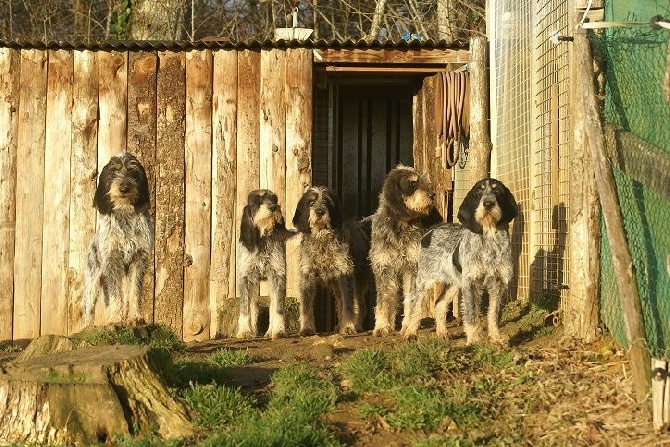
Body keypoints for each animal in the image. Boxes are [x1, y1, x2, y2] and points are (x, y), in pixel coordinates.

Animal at [82, 152, 154, 328]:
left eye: (133, 171)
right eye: (114, 171)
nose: (124, 188)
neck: (125, 212)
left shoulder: (138, 260)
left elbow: (134, 292)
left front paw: (135, 317)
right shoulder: (113, 260)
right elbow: (116, 295)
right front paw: (115, 319)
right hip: (93, 281)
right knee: (88, 307)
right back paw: (87, 327)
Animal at [239, 189, 296, 340]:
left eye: (274, 199)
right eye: (258, 200)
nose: (273, 207)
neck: (262, 240)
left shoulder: (277, 276)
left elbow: (277, 307)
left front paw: (279, 330)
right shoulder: (246, 278)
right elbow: (245, 307)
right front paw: (244, 331)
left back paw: (270, 330)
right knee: (253, 304)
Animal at [294, 186, 372, 336]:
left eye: (327, 201)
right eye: (311, 202)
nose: (319, 212)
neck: (322, 239)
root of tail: (361, 225)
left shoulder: (345, 274)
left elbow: (348, 305)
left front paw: (348, 327)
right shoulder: (307, 276)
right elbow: (306, 306)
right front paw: (307, 328)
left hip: (357, 280)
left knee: (359, 304)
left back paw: (355, 325)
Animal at [370, 166, 444, 338]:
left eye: (424, 181)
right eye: (412, 183)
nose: (432, 195)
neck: (400, 224)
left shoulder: (413, 268)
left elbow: (411, 299)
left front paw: (408, 326)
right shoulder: (384, 267)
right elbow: (384, 299)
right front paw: (382, 326)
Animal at [404, 178, 520, 346]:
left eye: (497, 190)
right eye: (479, 191)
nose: (488, 204)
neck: (490, 238)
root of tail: (431, 230)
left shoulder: (499, 283)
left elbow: (493, 314)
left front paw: (496, 339)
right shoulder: (471, 283)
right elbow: (471, 314)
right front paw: (474, 340)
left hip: (454, 282)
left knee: (439, 304)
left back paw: (442, 332)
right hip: (425, 280)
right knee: (415, 305)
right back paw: (410, 333)